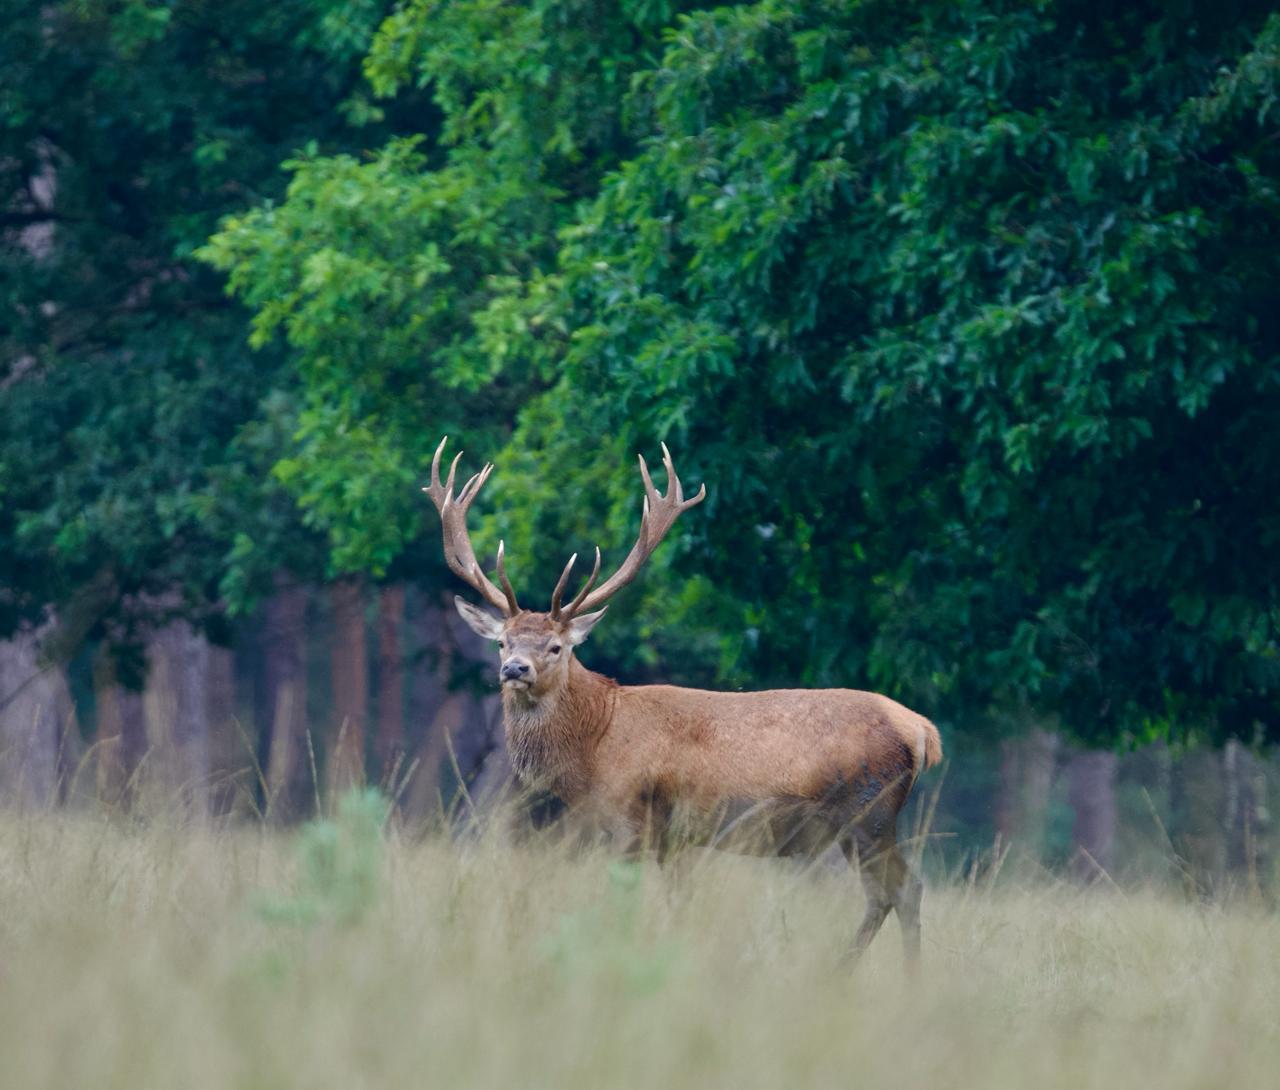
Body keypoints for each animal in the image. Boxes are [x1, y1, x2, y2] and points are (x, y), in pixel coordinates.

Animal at [424, 437, 942, 962]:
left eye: (556, 647)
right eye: (502, 642)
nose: (515, 669)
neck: (594, 747)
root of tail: (923, 732)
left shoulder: (630, 815)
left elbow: (623, 901)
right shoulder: (676, 837)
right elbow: (680, 904)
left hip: (870, 811)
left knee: (903, 889)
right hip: (858, 825)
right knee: (888, 894)